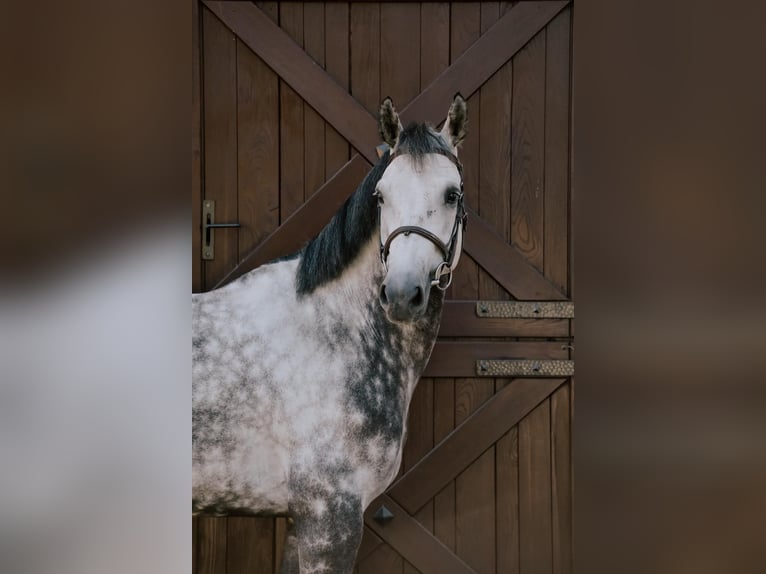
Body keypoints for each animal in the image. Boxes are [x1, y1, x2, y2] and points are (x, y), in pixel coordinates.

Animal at [192, 95, 468, 574]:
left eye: (452, 194)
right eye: (380, 196)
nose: (401, 294)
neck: (331, 336)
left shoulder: (300, 522)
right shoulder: (330, 518)